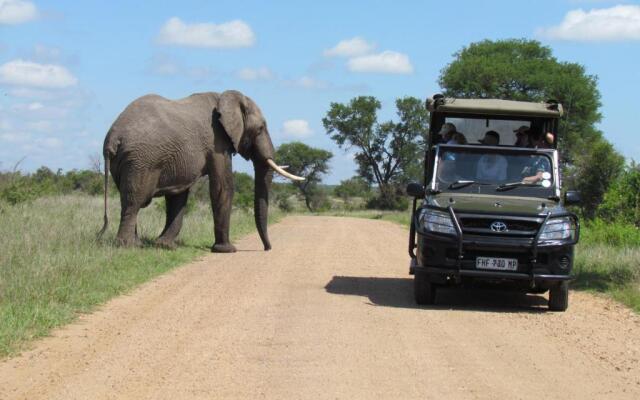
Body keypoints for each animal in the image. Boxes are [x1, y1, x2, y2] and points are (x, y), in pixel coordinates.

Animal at [97, 91, 302, 253]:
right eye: (260, 129)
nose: (267, 248)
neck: (225, 98)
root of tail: (112, 138)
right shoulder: (217, 141)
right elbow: (223, 187)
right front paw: (226, 250)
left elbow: (178, 196)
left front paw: (165, 246)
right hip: (140, 160)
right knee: (134, 201)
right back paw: (127, 246)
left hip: (126, 162)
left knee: (127, 201)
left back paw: (137, 244)